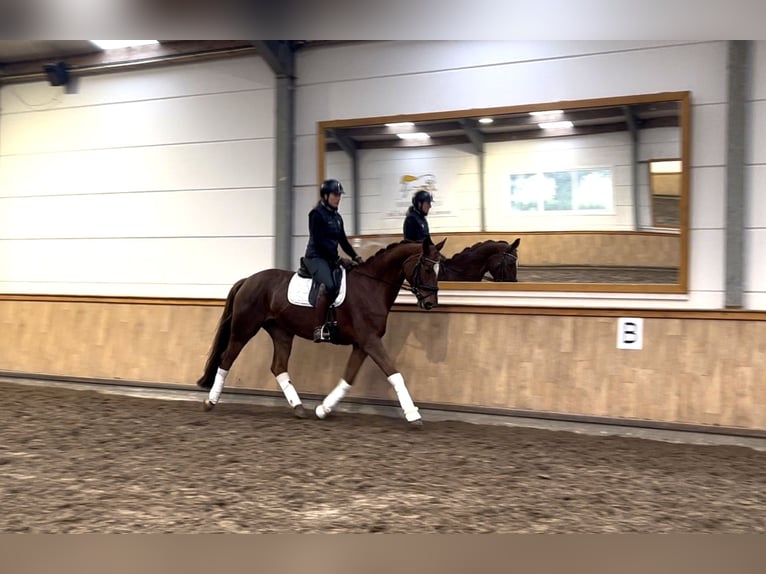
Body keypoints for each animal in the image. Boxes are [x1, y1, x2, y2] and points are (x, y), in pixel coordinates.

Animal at [198, 235, 448, 428]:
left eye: (438, 269)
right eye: (427, 267)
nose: (430, 303)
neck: (372, 286)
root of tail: (248, 279)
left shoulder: (362, 344)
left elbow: (348, 378)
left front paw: (323, 409)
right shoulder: (370, 341)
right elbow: (395, 374)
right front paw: (413, 415)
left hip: (282, 333)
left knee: (278, 367)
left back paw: (299, 408)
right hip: (244, 328)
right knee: (226, 359)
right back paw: (211, 402)